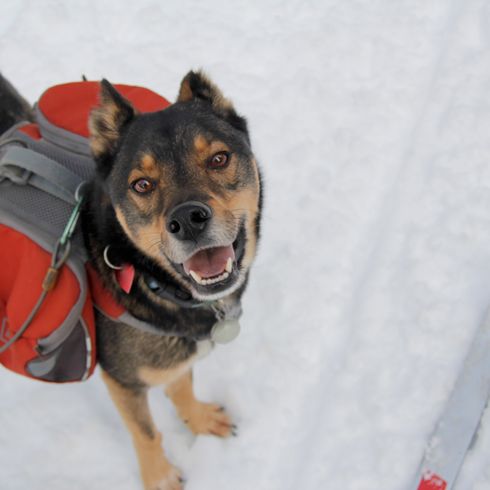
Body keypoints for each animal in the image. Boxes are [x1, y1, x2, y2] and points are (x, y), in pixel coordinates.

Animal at [0, 70, 264, 490]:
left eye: (219, 159)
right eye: (142, 184)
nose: (188, 220)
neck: (152, 281)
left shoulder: (177, 354)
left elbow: (182, 385)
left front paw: (198, 420)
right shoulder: (123, 379)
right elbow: (146, 431)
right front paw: (160, 477)